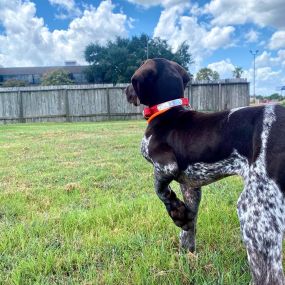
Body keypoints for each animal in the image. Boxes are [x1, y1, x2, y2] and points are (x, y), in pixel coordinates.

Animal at [125, 58, 285, 284]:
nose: (125, 90)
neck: (169, 110)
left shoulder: (165, 166)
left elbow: (161, 191)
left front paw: (176, 212)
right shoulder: (191, 186)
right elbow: (190, 225)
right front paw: (186, 253)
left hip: (255, 213)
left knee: (270, 274)